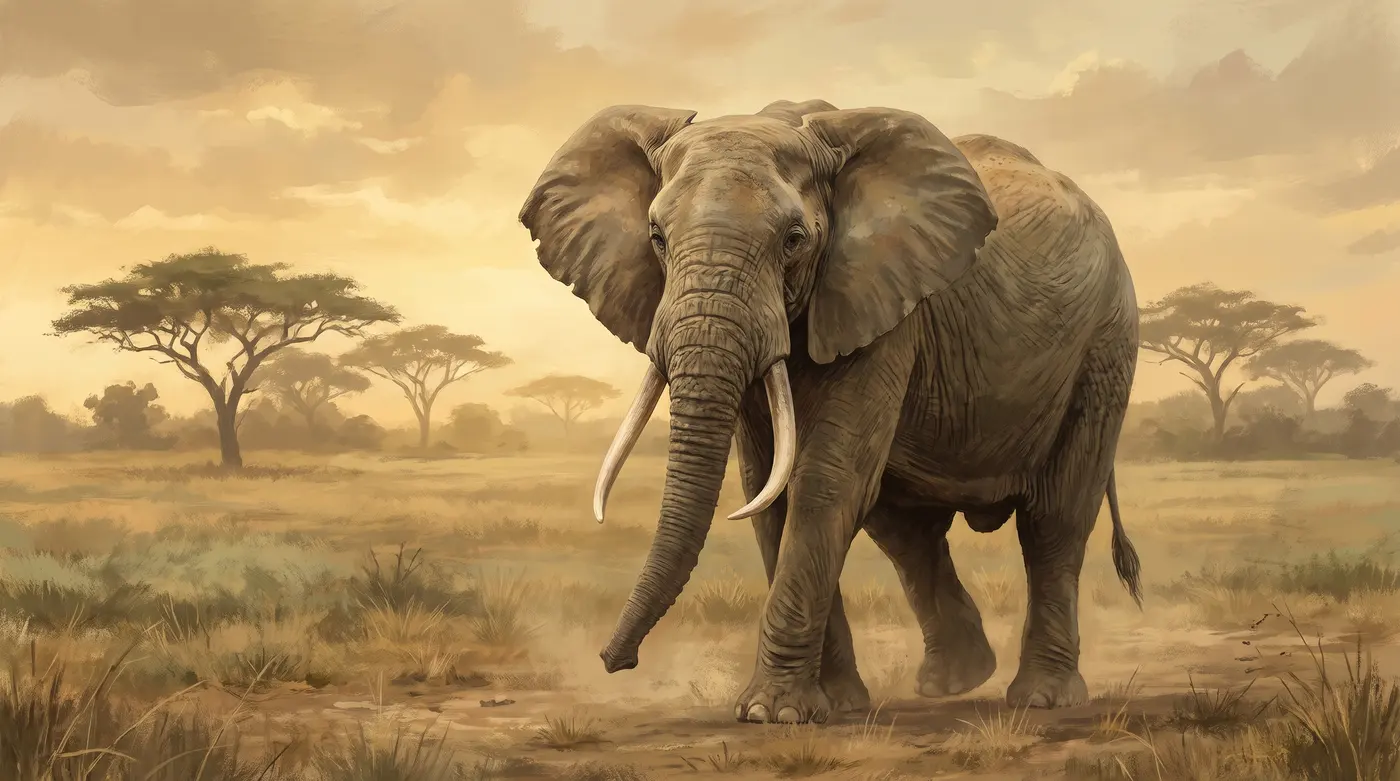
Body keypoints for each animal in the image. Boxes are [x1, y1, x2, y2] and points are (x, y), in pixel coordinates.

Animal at [517, 98, 1143, 725]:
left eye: (794, 239)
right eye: (657, 237)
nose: (614, 661)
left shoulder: (883, 307)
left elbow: (824, 486)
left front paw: (770, 713)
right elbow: (766, 493)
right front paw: (832, 705)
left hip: (1106, 344)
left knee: (1055, 519)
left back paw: (1042, 697)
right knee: (905, 529)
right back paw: (955, 681)